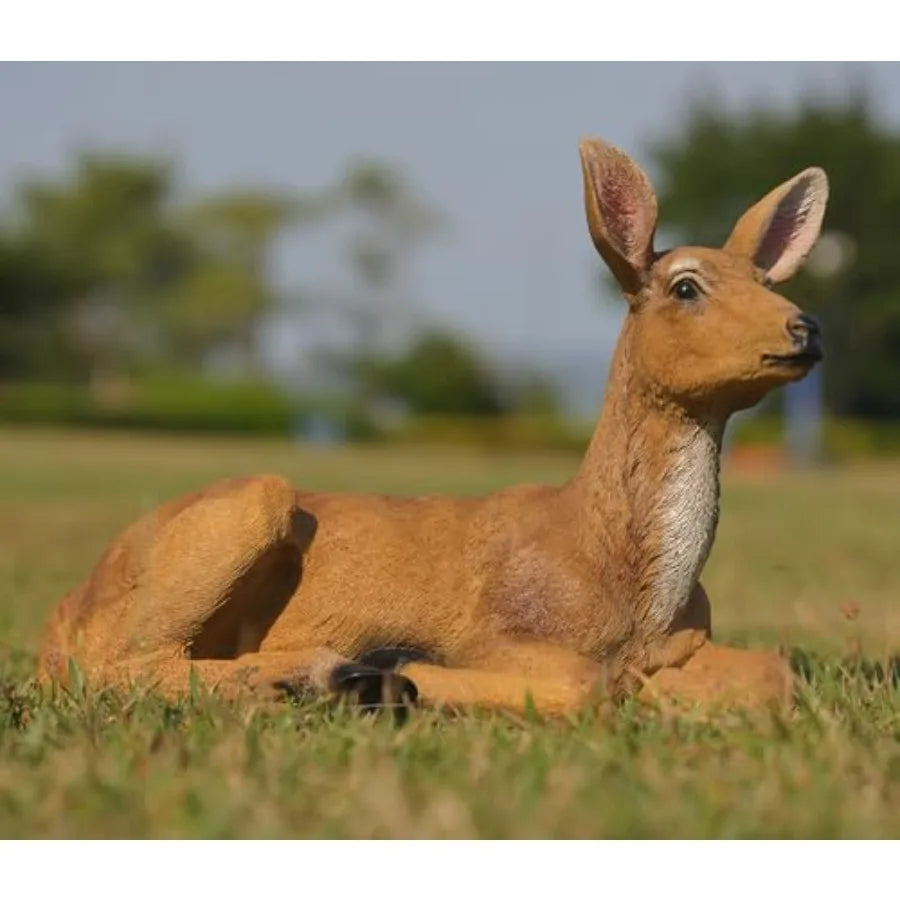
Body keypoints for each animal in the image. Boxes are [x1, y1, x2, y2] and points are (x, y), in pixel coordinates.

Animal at [37, 138, 828, 718]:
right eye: (685, 286)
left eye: (768, 283)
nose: (806, 328)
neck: (624, 583)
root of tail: (62, 613)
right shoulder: (503, 629)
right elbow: (583, 685)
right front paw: (402, 671)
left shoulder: (688, 643)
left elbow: (775, 671)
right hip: (243, 509)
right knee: (115, 664)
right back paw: (333, 677)